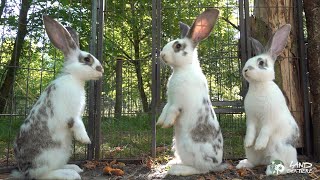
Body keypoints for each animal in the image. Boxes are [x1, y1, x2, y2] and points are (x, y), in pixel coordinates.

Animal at [11, 15, 103, 180]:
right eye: (87, 59)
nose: (102, 70)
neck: (73, 77)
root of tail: (24, 170)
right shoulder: (71, 114)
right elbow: (78, 124)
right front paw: (85, 139)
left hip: (63, 153)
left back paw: (73, 167)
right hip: (48, 157)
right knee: (41, 175)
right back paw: (70, 174)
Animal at [157, 8, 226, 176]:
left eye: (177, 46)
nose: (162, 55)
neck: (182, 69)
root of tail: (216, 163)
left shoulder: (177, 103)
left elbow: (172, 111)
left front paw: (166, 124)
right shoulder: (169, 101)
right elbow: (164, 110)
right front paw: (160, 122)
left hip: (193, 150)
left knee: (200, 169)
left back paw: (177, 170)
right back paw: (172, 163)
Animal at [235, 23, 300, 176]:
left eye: (261, 62)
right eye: (249, 60)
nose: (245, 70)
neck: (259, 86)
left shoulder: (270, 118)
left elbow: (265, 130)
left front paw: (259, 144)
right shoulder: (251, 118)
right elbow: (251, 130)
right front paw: (250, 142)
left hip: (280, 148)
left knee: (286, 166)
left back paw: (272, 171)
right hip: (252, 154)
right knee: (255, 161)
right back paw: (243, 164)